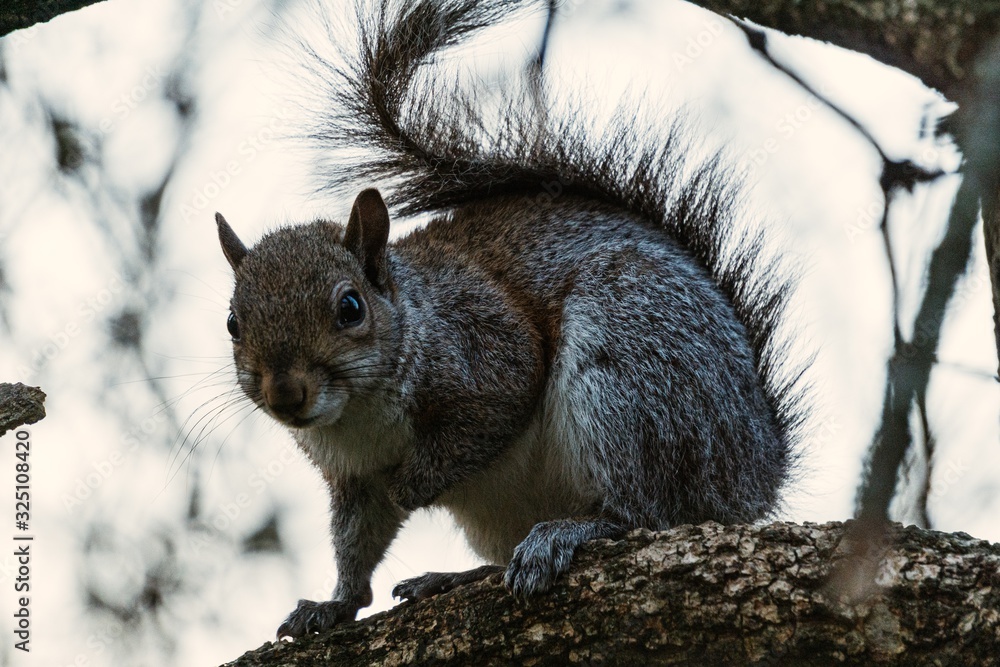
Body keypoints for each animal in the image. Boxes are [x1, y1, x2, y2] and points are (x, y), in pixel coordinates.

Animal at [214, 0, 802, 640]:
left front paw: (412, 485)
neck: (359, 411)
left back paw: (572, 530)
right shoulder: (350, 477)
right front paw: (334, 603)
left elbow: (492, 414)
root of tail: (759, 471)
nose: (285, 394)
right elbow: (356, 542)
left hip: (633, 363)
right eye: (233, 324)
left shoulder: (485, 347)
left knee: (647, 512)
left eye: (350, 307)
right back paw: (456, 577)